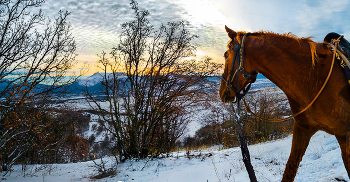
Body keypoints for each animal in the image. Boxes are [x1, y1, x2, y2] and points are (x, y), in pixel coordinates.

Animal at [220, 26, 350, 182]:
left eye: (226, 55)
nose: (221, 92)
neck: (314, 77)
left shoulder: (345, 136)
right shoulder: (302, 129)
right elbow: (290, 168)